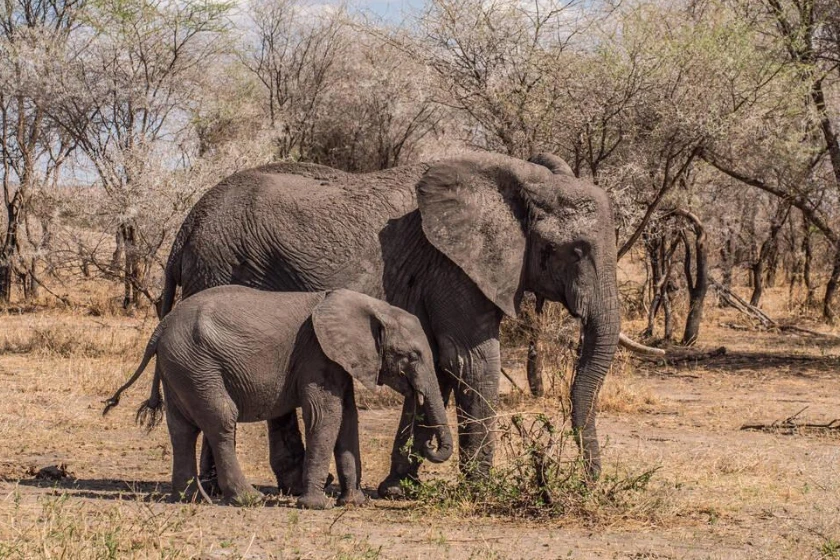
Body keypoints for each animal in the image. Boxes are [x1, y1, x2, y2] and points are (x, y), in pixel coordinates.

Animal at [103, 287, 453, 509]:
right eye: (411, 356)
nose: (430, 446)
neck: (371, 306)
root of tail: (159, 329)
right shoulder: (314, 353)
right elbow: (325, 416)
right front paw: (316, 506)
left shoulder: (335, 358)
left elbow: (348, 417)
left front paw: (353, 503)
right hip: (196, 365)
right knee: (221, 421)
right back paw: (248, 500)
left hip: (180, 367)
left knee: (182, 430)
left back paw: (190, 499)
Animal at [157, 151, 621, 497]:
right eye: (576, 250)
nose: (590, 481)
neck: (517, 179)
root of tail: (184, 230)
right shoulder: (453, 268)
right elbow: (469, 361)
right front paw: (481, 490)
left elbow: (440, 368)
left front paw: (399, 487)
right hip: (220, 267)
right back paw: (226, 489)